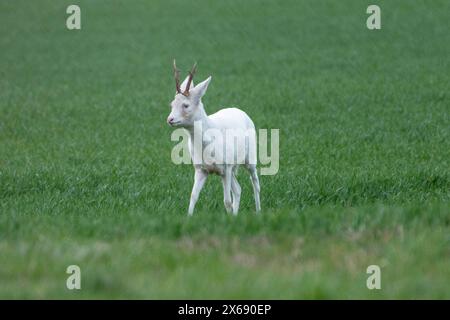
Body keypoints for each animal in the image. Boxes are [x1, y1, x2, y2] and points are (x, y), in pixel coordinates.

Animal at [168, 60, 260, 215]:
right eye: (171, 104)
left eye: (185, 105)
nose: (170, 119)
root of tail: (242, 111)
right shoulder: (201, 169)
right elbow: (193, 196)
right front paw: (188, 217)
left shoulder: (226, 167)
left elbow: (227, 201)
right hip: (232, 167)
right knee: (238, 189)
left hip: (250, 157)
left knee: (255, 182)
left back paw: (259, 211)